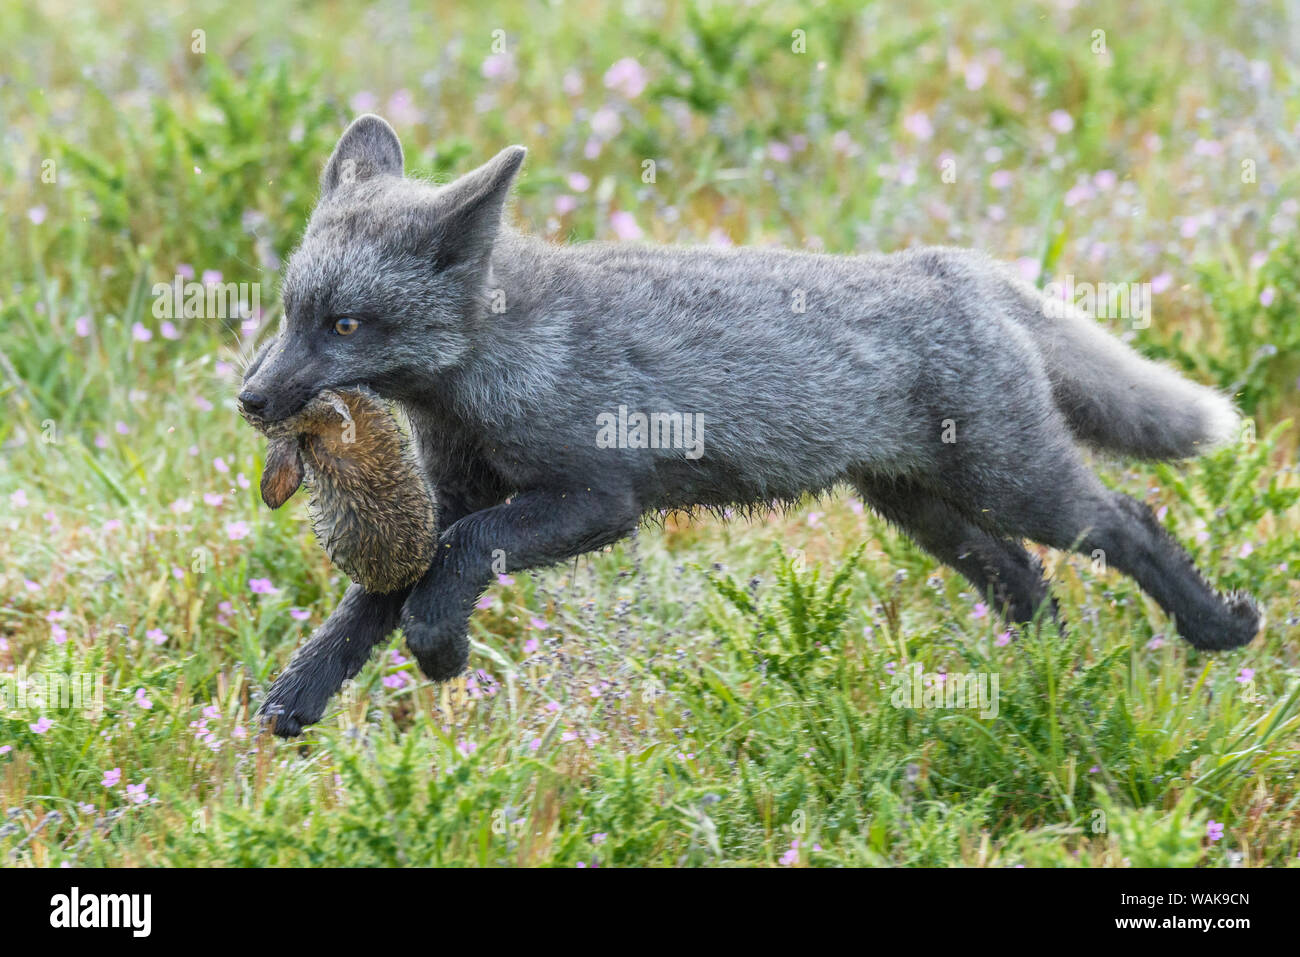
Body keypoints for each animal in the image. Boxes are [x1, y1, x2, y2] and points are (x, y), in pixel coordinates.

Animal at [241, 113, 1258, 738]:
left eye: (345, 326)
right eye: (292, 315)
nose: (250, 400)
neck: (495, 369)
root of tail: (952, 265)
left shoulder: (595, 499)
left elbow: (451, 567)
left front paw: (440, 648)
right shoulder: (452, 498)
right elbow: (370, 602)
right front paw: (300, 692)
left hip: (1018, 484)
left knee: (1130, 523)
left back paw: (1217, 627)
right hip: (922, 510)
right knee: (1026, 580)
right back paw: (1045, 681)